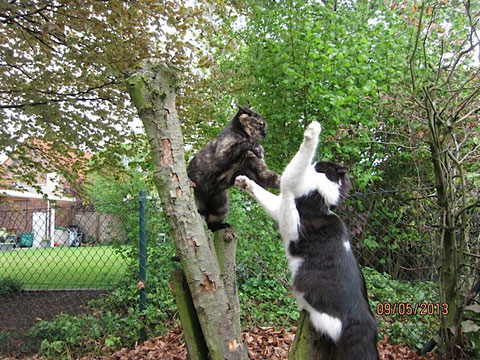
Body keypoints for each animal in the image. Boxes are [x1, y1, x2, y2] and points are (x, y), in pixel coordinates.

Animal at [236, 122, 378, 358]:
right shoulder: (282, 206)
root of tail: (366, 323)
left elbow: (296, 164)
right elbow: (264, 193)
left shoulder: (288, 192)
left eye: (320, 166)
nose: (316, 164)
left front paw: (312, 132)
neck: (321, 200)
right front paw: (244, 182)